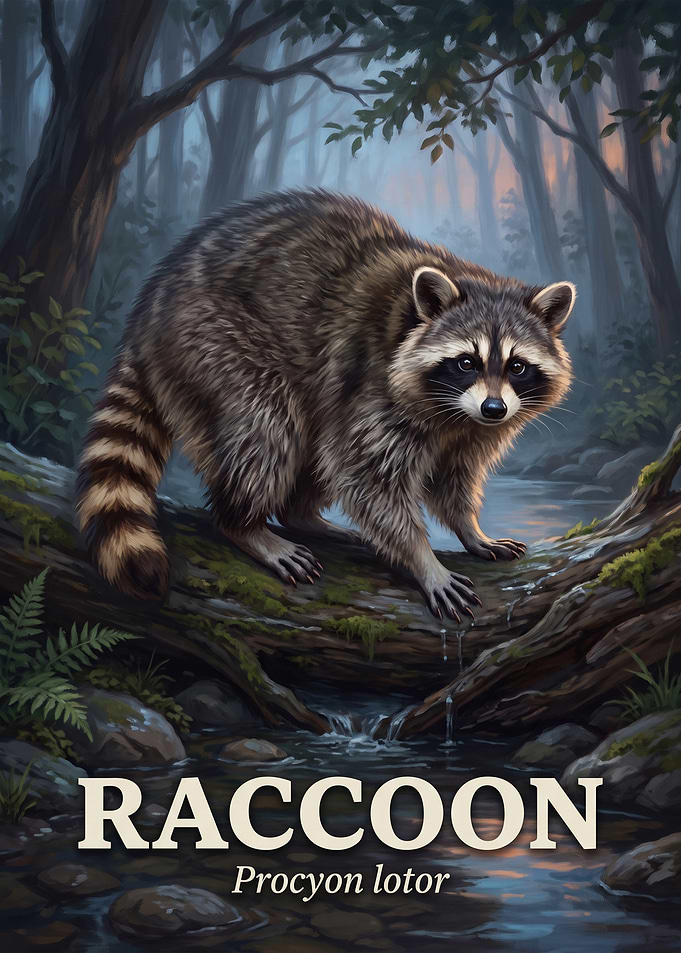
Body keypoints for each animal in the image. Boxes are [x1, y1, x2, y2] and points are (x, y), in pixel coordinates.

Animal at [76, 190, 574, 620]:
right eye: (466, 362)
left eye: (517, 367)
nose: (494, 409)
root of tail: (149, 306)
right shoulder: (375, 383)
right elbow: (366, 476)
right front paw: (422, 558)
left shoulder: (472, 429)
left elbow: (454, 477)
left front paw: (470, 529)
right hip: (213, 339)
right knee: (269, 426)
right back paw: (243, 522)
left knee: (314, 441)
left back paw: (301, 515)